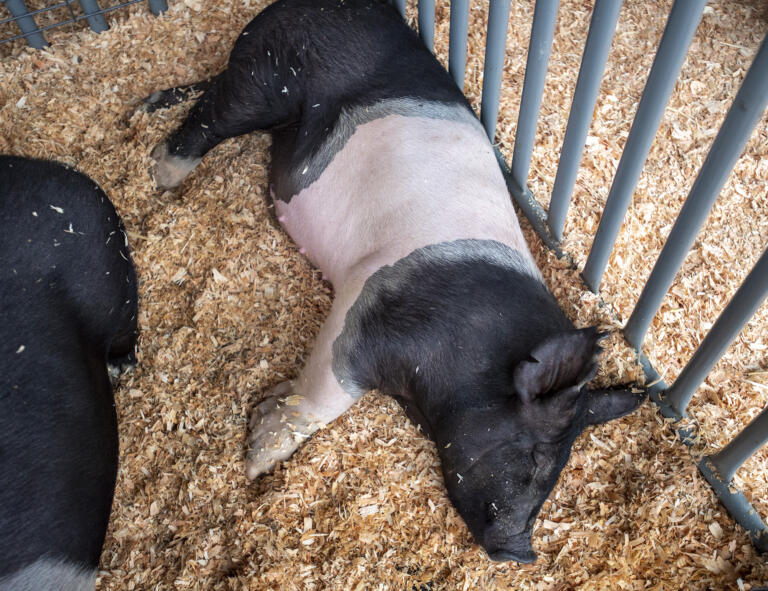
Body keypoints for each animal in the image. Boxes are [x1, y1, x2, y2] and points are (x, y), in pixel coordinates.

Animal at [147, 0, 644, 564]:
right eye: (535, 459)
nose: (521, 553)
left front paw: (266, 410)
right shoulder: (369, 302)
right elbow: (324, 393)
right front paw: (256, 462)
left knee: (206, 89)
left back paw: (144, 109)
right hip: (267, 76)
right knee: (211, 114)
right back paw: (162, 175)